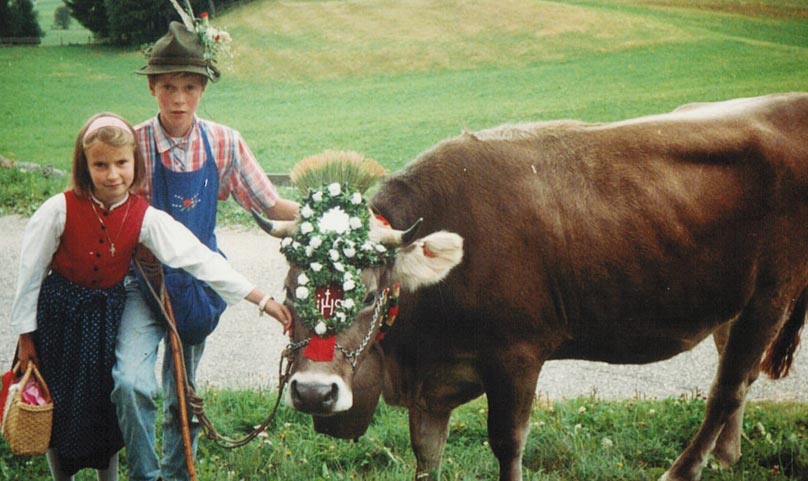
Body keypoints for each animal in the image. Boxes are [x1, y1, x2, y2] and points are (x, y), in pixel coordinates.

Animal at [258, 92, 808, 478]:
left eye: (370, 295)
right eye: (288, 292)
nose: (313, 393)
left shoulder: (516, 356)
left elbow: (507, 444)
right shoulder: (433, 383)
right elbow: (426, 451)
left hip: (771, 295)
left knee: (727, 388)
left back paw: (684, 470)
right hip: (735, 301)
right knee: (737, 375)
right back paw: (726, 457)